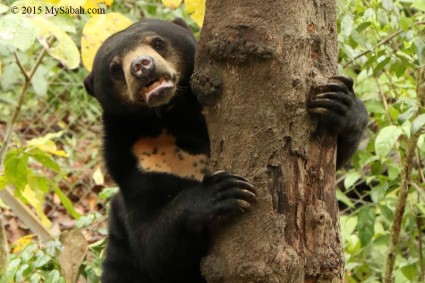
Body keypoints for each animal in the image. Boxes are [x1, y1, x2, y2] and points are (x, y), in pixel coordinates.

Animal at [83, 18, 368, 283]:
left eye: (158, 43)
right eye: (115, 69)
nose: (142, 66)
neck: (172, 116)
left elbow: (326, 165)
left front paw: (340, 102)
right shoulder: (136, 165)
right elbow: (152, 244)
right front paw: (223, 191)